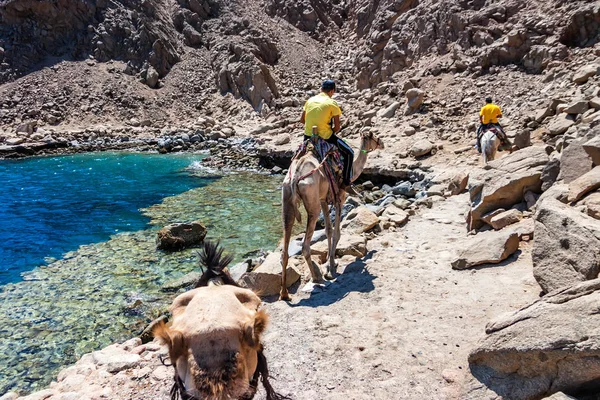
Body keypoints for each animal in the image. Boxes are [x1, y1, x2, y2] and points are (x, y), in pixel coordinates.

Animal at [278, 131, 382, 300]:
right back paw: (317, 278)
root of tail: (295, 178)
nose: (382, 143)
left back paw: (285, 294)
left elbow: (328, 230)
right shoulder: (339, 197)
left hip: (287, 198)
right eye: (375, 136)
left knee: (285, 249)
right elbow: (337, 232)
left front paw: (330, 263)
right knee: (305, 246)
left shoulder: (323, 200)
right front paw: (331, 268)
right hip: (312, 205)